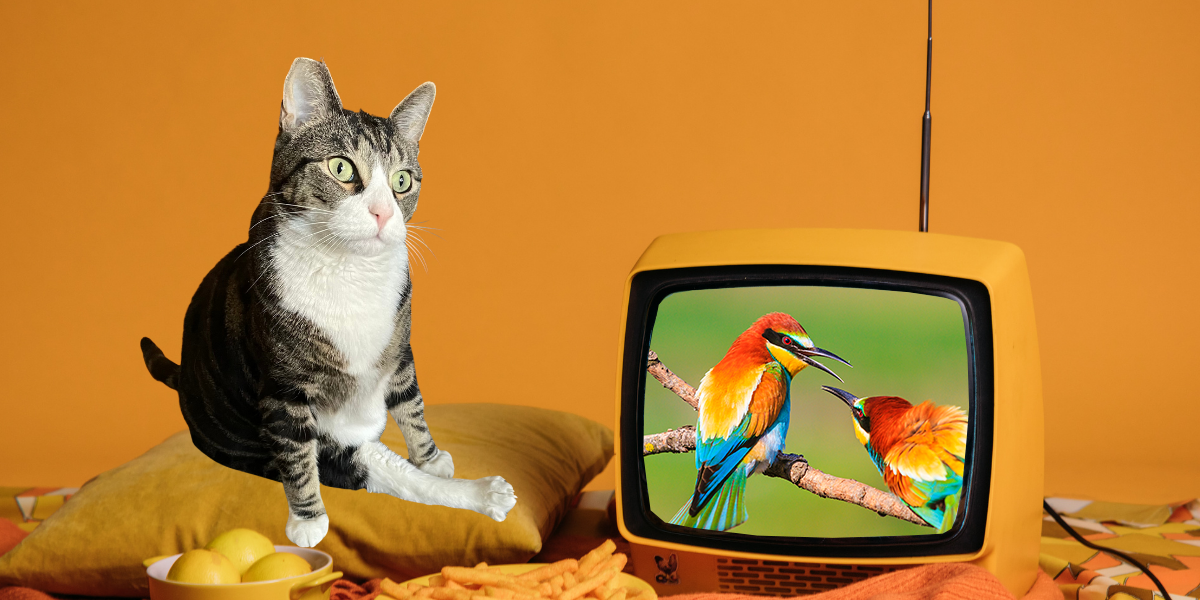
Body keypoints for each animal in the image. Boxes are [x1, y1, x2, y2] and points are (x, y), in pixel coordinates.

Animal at [140, 58, 516, 547]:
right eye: (341, 168)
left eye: (402, 181)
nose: (383, 212)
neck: (349, 274)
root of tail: (185, 378)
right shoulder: (284, 393)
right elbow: (302, 460)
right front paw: (308, 521)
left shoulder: (400, 348)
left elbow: (411, 404)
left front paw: (431, 457)